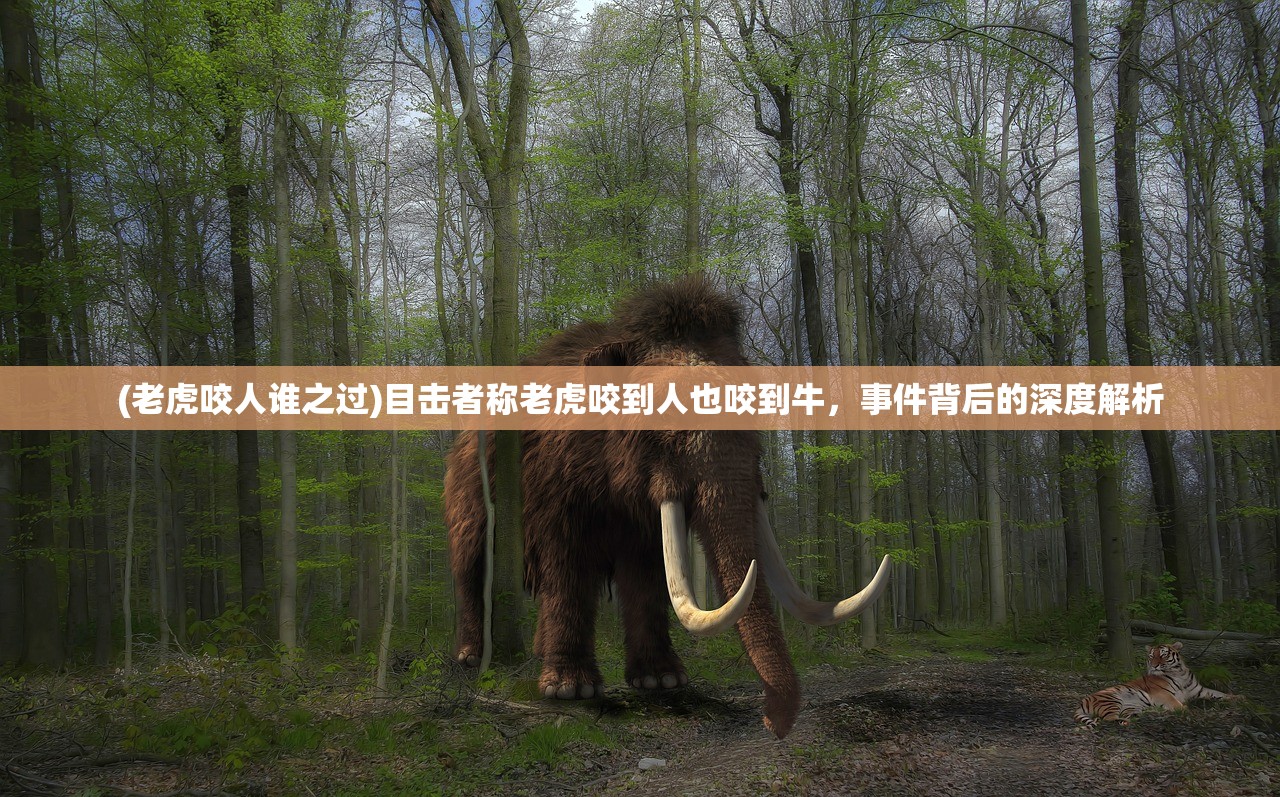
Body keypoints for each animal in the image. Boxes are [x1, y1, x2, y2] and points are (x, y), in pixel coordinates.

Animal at [1074, 642, 1240, 728]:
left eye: (1163, 655)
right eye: (1151, 656)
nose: (1154, 666)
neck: (1179, 673)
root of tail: (1082, 701)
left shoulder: (1199, 690)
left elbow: (1220, 694)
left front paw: (1240, 698)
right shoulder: (1162, 693)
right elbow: (1177, 703)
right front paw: (1188, 710)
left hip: (1132, 706)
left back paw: (1155, 712)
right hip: (1112, 699)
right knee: (1108, 718)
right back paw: (1125, 722)